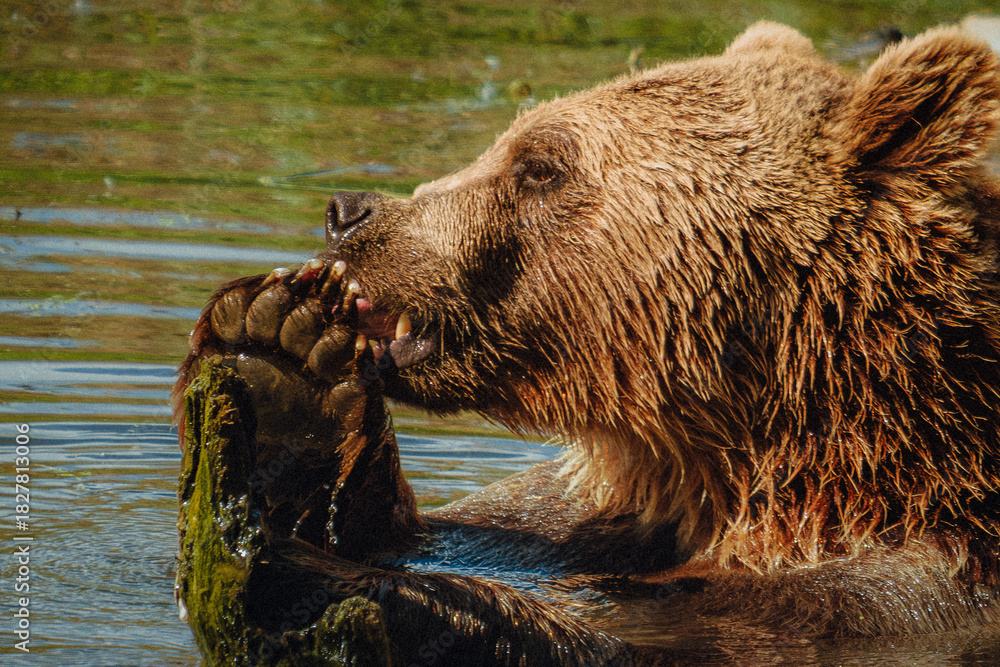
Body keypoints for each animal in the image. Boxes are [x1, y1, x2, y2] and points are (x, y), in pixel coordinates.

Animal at [177, 21, 1000, 665]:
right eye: (511, 140)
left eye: (541, 165)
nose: (349, 211)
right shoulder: (566, 514)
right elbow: (444, 531)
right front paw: (283, 365)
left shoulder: (903, 589)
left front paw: (332, 584)